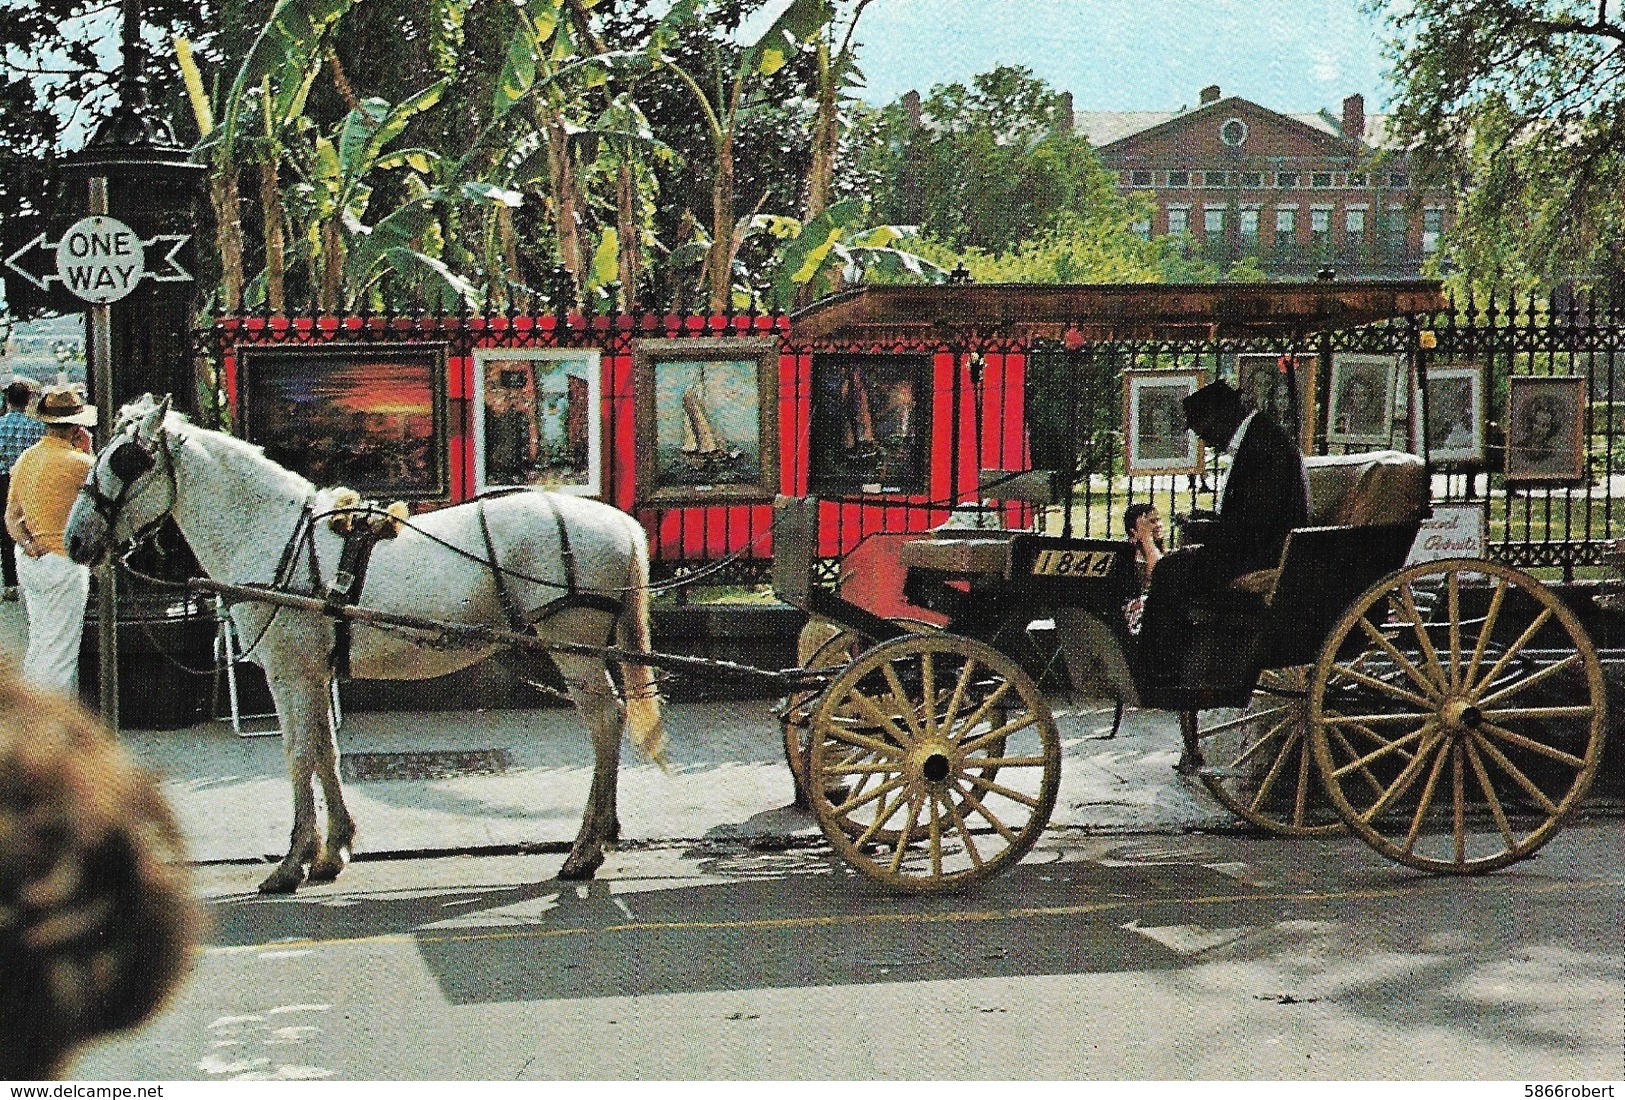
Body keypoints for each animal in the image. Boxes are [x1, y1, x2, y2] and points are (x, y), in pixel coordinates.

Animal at [65, 394, 666, 890]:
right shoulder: (313, 672)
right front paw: (334, 850)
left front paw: (293, 861)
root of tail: (622, 525)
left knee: (605, 720)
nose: (74, 540)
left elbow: (298, 753)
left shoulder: (288, 673)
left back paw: (584, 849)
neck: (273, 536)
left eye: (126, 459)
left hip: (572, 646)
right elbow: (326, 752)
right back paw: (600, 835)